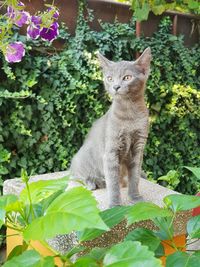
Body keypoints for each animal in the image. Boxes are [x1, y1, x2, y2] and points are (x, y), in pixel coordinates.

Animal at [69, 48, 151, 207]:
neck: (129, 114)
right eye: (110, 78)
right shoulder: (111, 151)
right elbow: (113, 182)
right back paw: (92, 182)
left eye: (127, 77)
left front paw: (135, 198)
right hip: (82, 158)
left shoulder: (138, 147)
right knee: (75, 176)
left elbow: (135, 177)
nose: (116, 87)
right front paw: (115, 205)